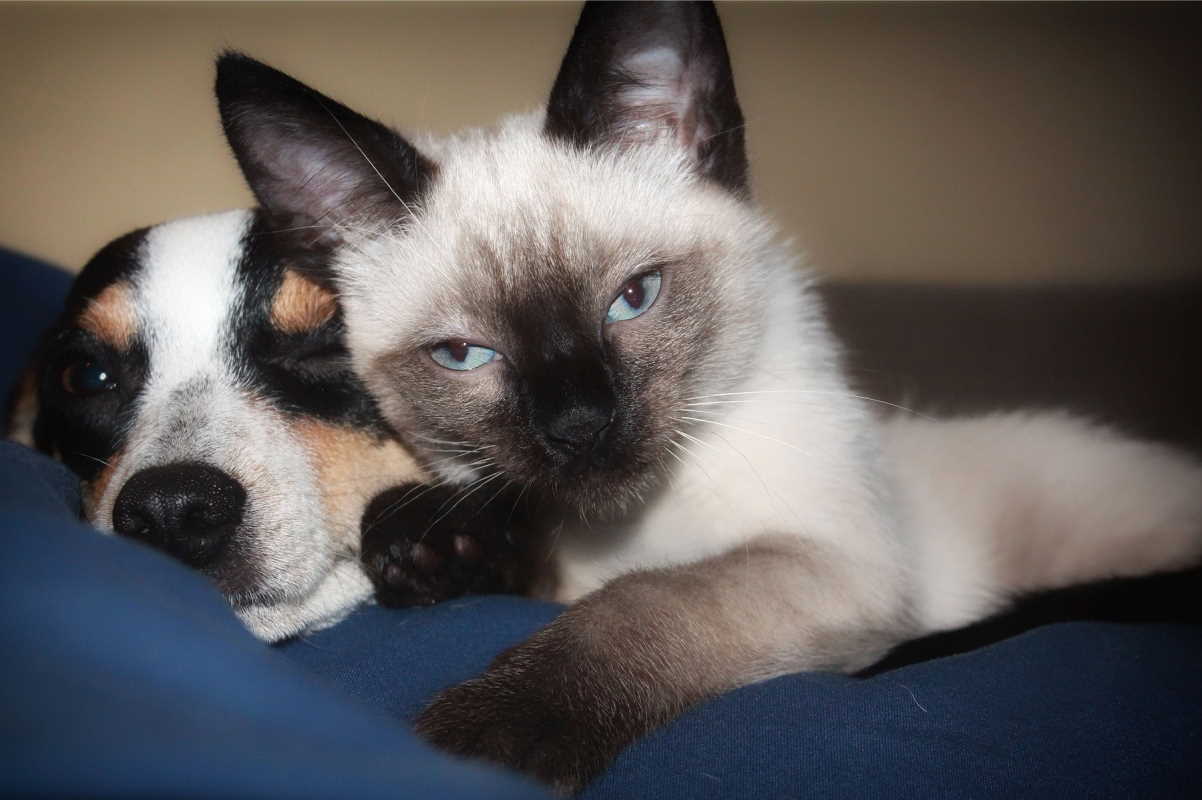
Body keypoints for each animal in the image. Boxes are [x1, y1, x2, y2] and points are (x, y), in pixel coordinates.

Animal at [216, 3, 1202, 792]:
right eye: (464, 355)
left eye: (635, 297)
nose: (579, 427)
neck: (627, 526)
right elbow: (493, 536)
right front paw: (428, 545)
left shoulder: (834, 564)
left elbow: (642, 604)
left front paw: (479, 741)